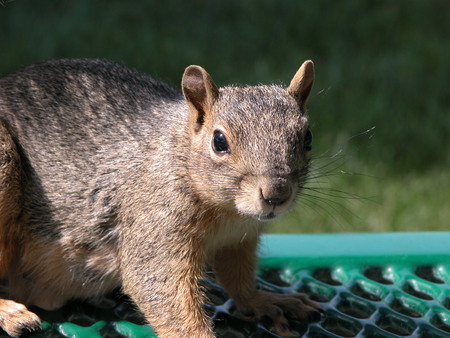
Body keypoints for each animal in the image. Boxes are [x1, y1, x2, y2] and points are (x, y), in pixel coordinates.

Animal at [0, 58, 324, 336]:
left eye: (307, 137)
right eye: (219, 141)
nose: (276, 194)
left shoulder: (237, 240)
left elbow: (238, 278)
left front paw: (263, 300)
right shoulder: (154, 219)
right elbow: (157, 284)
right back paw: (9, 312)